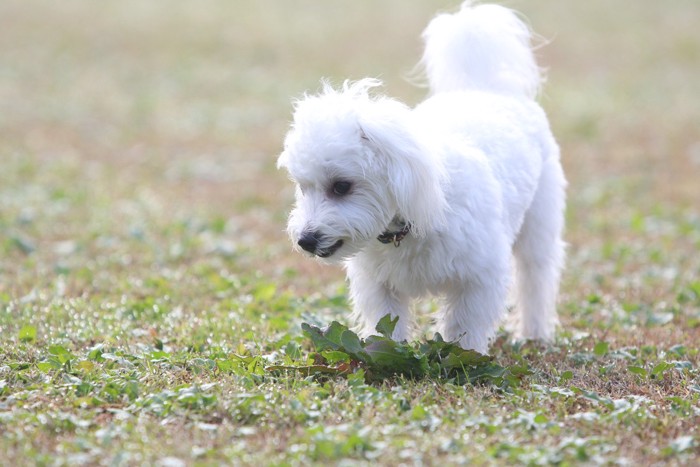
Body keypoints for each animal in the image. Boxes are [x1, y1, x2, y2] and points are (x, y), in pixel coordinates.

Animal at [276, 1, 568, 354]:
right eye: (302, 187)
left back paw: (534, 332)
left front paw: (466, 357)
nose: (305, 240)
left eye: (341, 186)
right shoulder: (379, 283)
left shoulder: (479, 277)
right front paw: (382, 356)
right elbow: (385, 325)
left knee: (535, 276)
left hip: (539, 223)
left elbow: (466, 326)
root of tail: (485, 88)